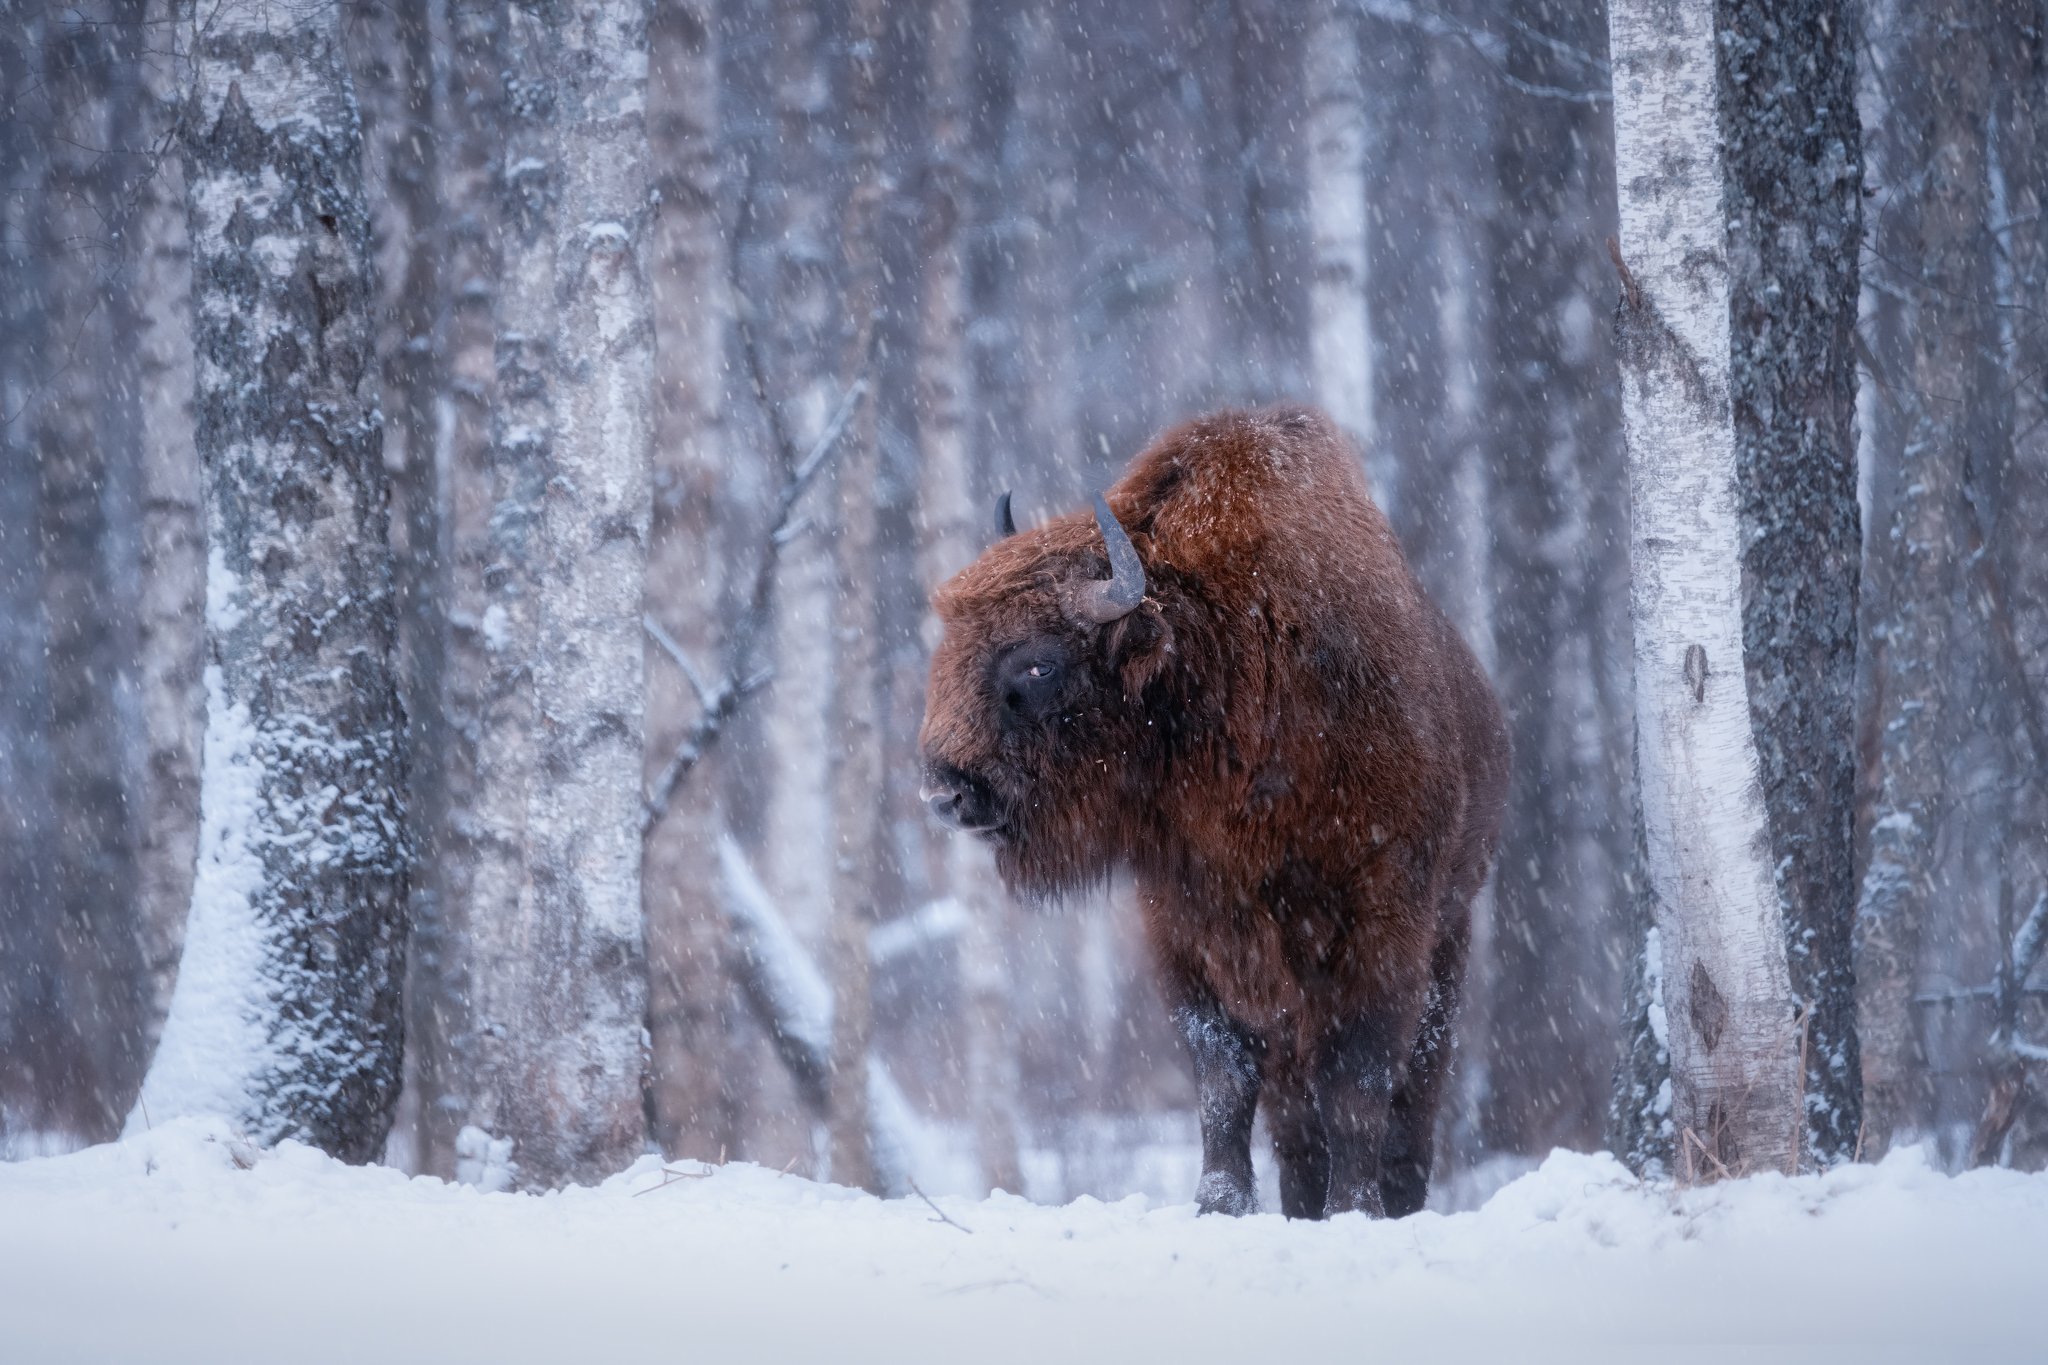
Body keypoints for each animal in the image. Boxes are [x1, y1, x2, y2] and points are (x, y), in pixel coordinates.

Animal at [921, 403, 1515, 1219]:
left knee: (1413, 1083)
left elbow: (1357, 1078)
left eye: (1038, 662)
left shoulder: (1381, 917)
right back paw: (1300, 1199)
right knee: (1294, 1106)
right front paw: (1220, 1203)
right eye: (947, 651)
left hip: (1450, 932)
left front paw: (1354, 1208)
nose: (943, 792)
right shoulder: (1186, 925)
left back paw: (1394, 1195)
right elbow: (1223, 1075)